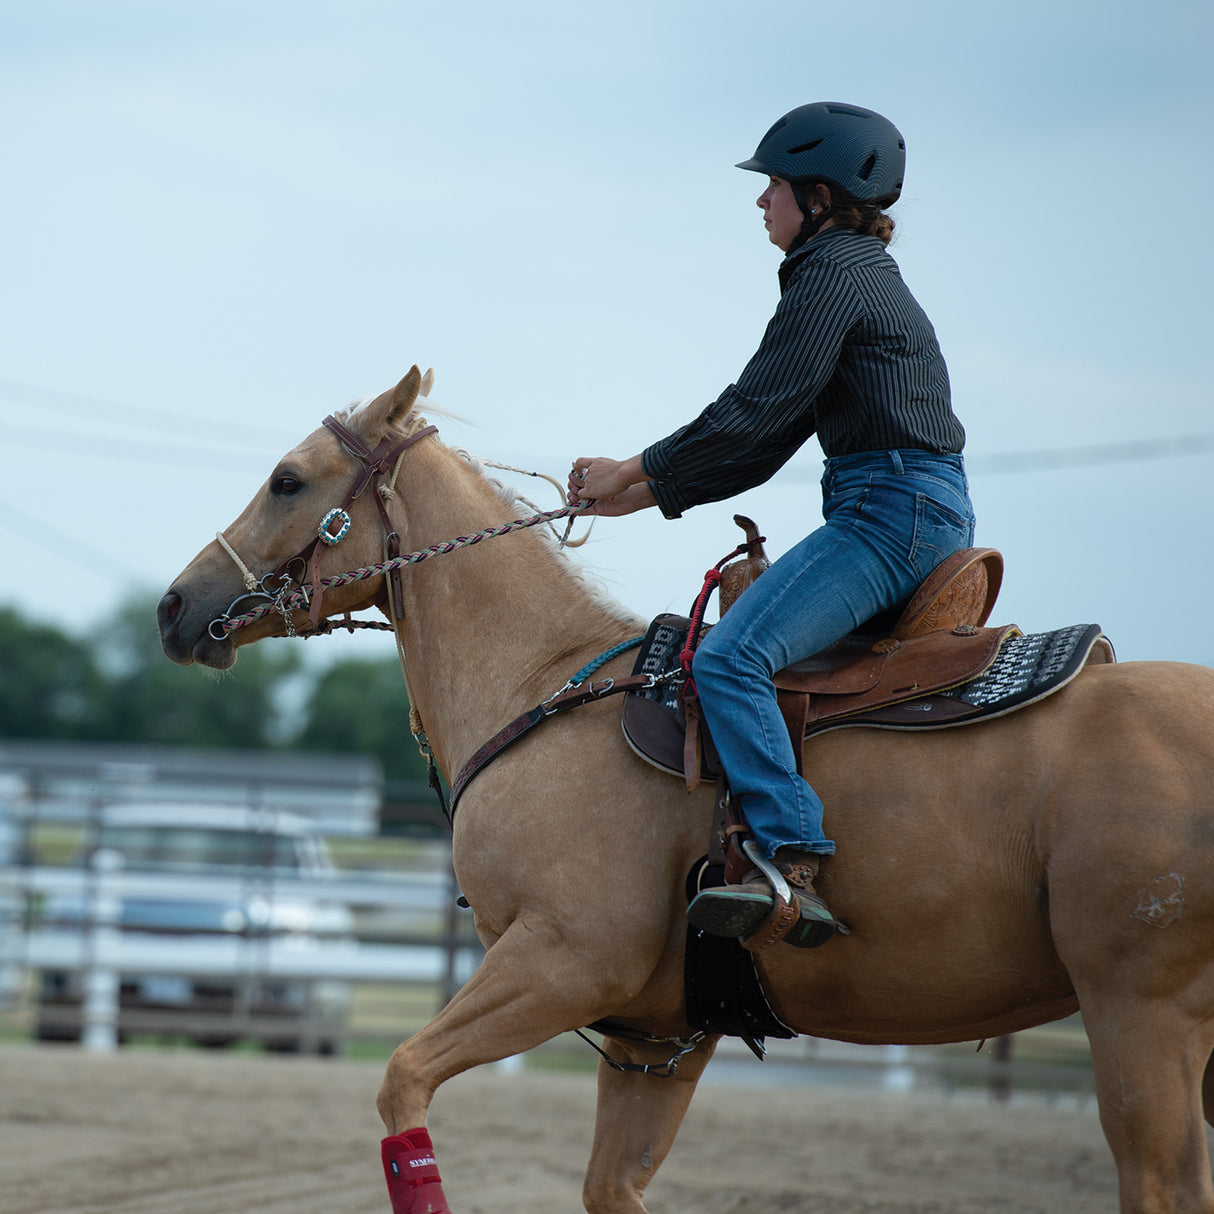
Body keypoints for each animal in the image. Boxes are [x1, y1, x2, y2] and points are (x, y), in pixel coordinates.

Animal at [156, 366, 1214, 1214]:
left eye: (288, 479)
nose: (174, 607)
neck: (547, 686)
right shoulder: (656, 1034)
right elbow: (609, 1188)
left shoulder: (563, 961)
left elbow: (402, 1080)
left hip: (1141, 1015)